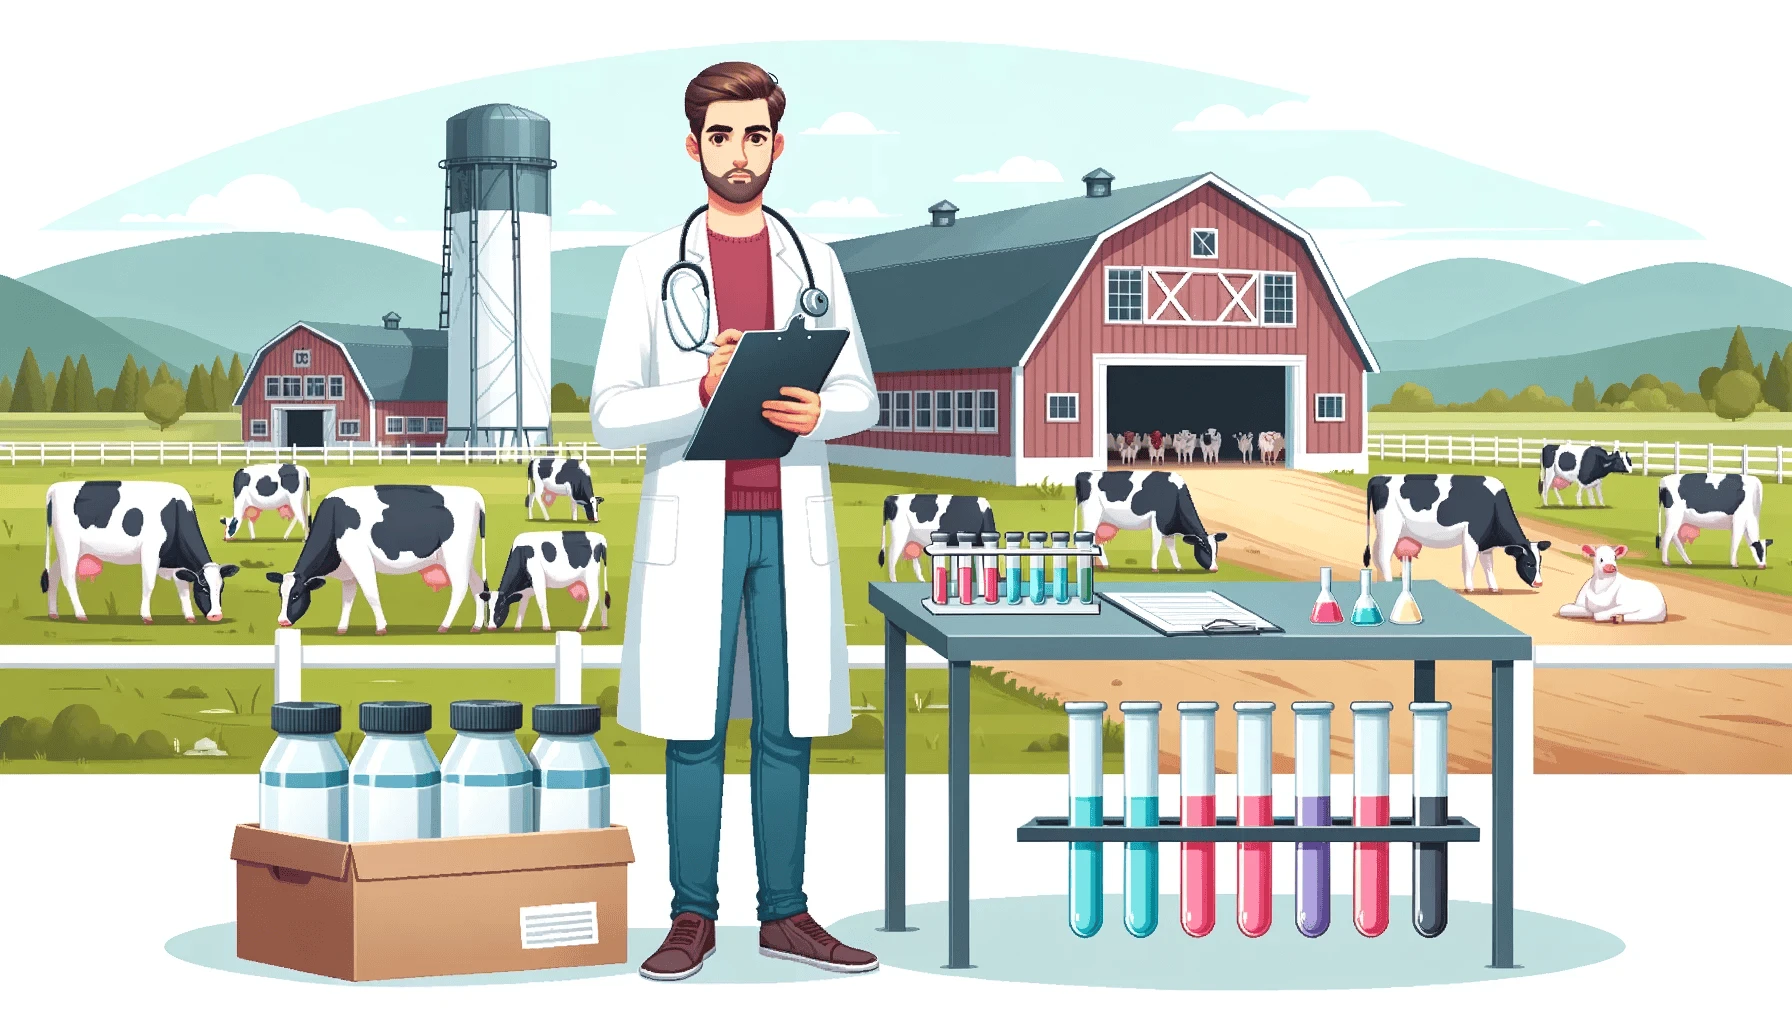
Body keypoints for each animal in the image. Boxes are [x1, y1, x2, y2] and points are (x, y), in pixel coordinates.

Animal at [43, 480, 240, 624]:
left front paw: (189, 616)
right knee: (68, 578)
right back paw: (80, 614)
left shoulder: (177, 564)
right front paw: (146, 616)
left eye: (221, 588)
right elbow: (149, 584)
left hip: (69, 549)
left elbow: (183, 588)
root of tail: (56, 487)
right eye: (204, 588)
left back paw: (53, 613)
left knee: (54, 574)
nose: (216, 615)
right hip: (69, 544)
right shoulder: (151, 551)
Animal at [265, 487, 491, 638]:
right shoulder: (348, 571)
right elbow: (348, 598)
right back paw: (476, 626)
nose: (282, 621)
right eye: (280, 594)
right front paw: (341, 628)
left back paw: (444, 625)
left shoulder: (360, 559)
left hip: (456, 555)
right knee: (477, 585)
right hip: (461, 558)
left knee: (460, 587)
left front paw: (381, 627)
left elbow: (371, 593)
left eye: (296, 595)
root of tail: (474, 495)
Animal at [1068, 473, 1225, 577]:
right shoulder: (1157, 523)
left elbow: (1172, 548)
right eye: (1204, 548)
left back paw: (1103, 565)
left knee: (1096, 541)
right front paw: (1155, 568)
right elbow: (1156, 546)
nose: (1215, 568)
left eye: (1216, 549)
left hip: (1102, 520)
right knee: (1088, 538)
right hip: (1091, 514)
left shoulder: (1167, 528)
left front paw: (1179, 567)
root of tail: (1083, 474)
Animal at [1361, 473, 1548, 591]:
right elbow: (1469, 562)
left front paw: (1493, 587)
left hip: (1383, 529)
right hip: (1390, 527)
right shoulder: (1472, 535)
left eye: (1540, 563)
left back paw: (1381, 581)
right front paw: (1469, 587)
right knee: (1384, 555)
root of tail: (1380, 477)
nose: (1539, 583)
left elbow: (1488, 565)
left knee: (1376, 553)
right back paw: (1388, 581)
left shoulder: (1486, 544)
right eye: (1529, 563)